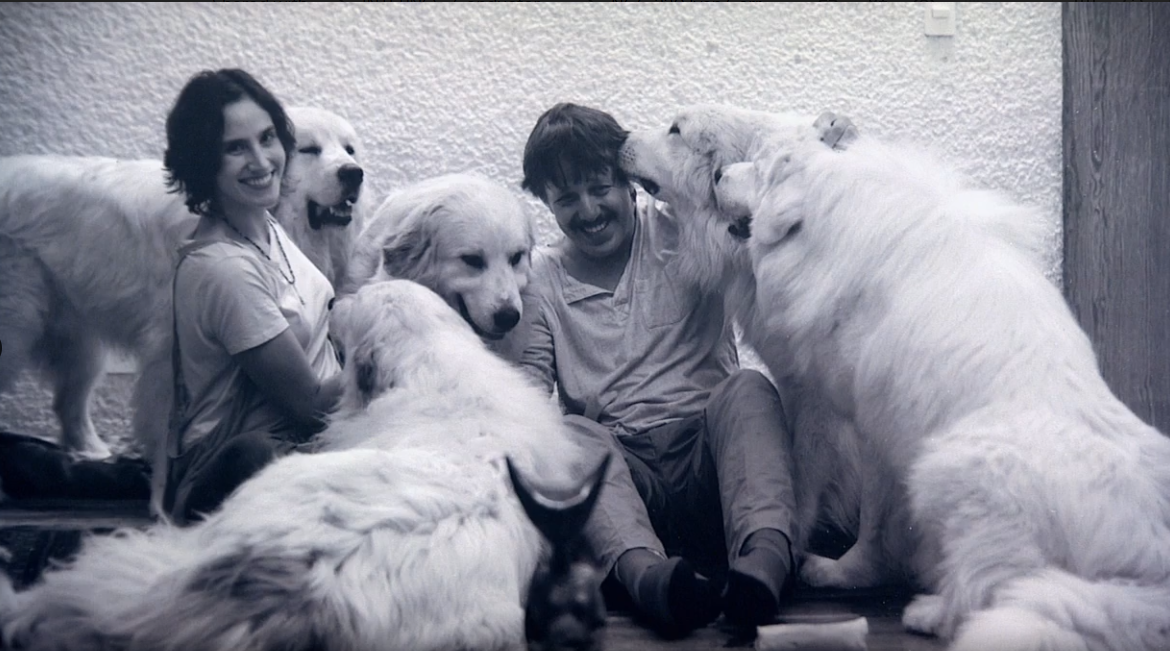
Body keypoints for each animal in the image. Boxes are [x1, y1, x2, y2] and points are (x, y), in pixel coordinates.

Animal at [0, 106, 369, 477]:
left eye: (349, 150)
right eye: (309, 150)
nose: (354, 174)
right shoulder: (166, 349)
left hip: (78, 340)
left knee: (69, 403)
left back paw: (92, 453)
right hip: (18, 326)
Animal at [622, 103, 1170, 651]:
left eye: (675, 130)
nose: (719, 177)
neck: (826, 225)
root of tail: (1148, 569)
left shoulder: (858, 415)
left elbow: (850, 507)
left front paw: (825, 564)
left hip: (947, 466)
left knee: (989, 590)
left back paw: (930, 612)